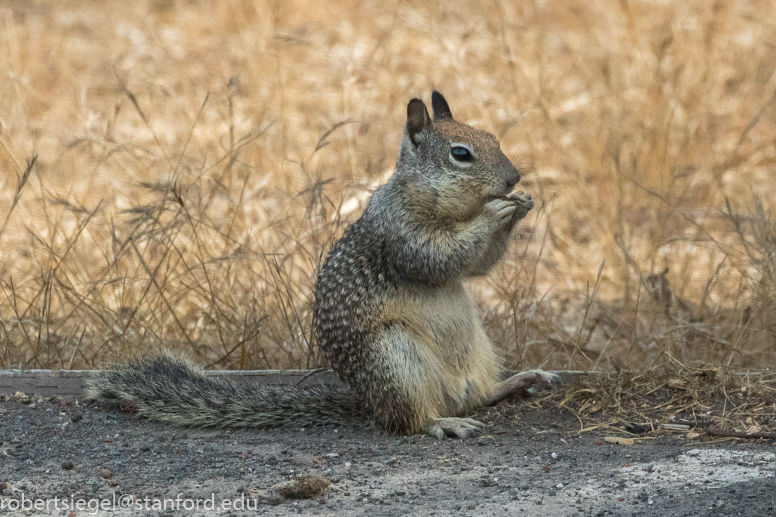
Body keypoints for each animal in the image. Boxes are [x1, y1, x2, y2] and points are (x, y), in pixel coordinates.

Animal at [89, 91, 556, 436]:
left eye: (491, 136)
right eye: (461, 154)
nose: (514, 178)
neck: (434, 201)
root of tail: (367, 403)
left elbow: (476, 268)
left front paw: (522, 204)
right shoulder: (400, 232)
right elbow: (436, 258)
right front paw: (497, 211)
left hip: (479, 351)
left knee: (477, 395)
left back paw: (518, 381)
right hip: (394, 358)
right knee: (409, 420)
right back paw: (444, 423)